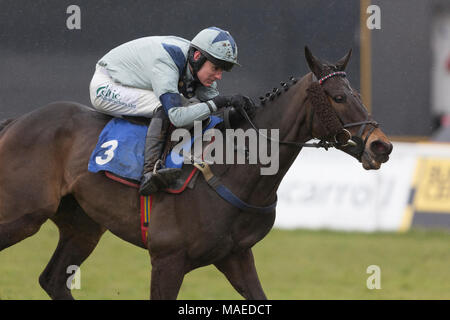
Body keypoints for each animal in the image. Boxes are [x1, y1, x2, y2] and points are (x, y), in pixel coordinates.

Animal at [0, 47, 390, 300]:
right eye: (338, 98)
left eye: (357, 93)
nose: (381, 146)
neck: (232, 167)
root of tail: (17, 121)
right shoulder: (167, 260)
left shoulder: (235, 256)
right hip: (22, 215)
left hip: (82, 225)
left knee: (53, 280)